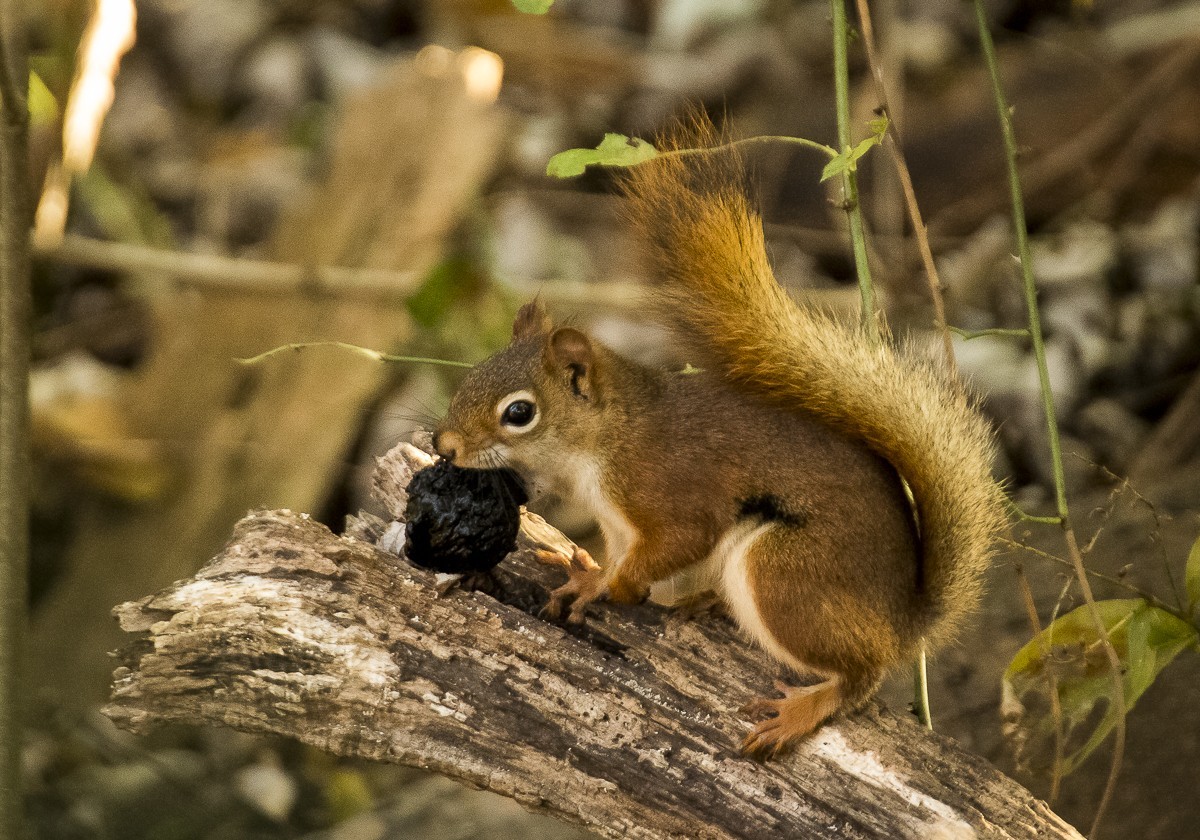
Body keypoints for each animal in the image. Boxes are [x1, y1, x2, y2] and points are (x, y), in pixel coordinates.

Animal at [432, 126, 1003, 763]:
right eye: (471, 374)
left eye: (519, 413)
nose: (444, 444)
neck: (608, 439)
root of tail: (905, 619)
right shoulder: (616, 524)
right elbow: (616, 557)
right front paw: (590, 575)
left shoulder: (665, 487)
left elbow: (681, 539)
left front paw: (613, 585)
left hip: (783, 572)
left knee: (861, 676)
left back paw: (801, 710)